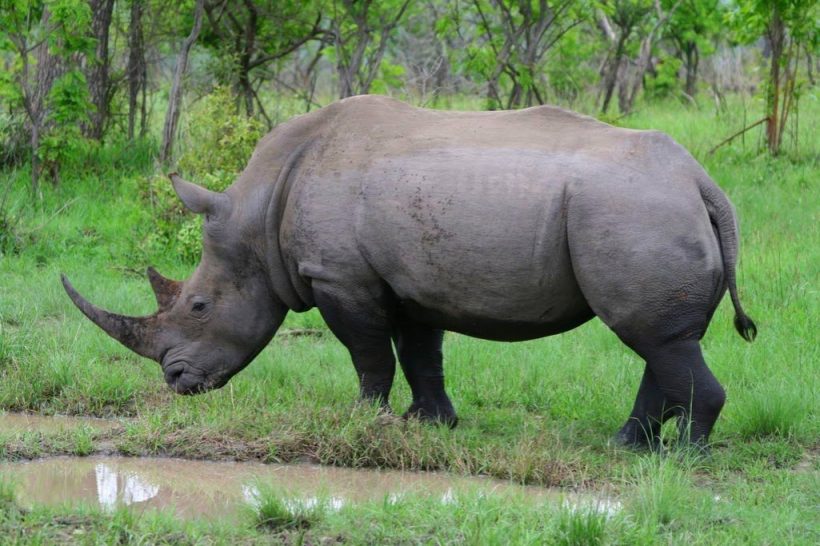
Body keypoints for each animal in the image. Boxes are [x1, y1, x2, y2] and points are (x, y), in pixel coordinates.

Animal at [62, 95, 756, 447]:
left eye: (200, 306)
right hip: (643, 210)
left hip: (634, 210)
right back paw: (626, 446)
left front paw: (361, 420)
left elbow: (369, 353)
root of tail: (703, 183)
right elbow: (421, 350)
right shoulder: (413, 278)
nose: (176, 381)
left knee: (654, 337)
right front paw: (432, 425)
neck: (259, 213)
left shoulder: (338, 275)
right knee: (660, 339)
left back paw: (682, 456)